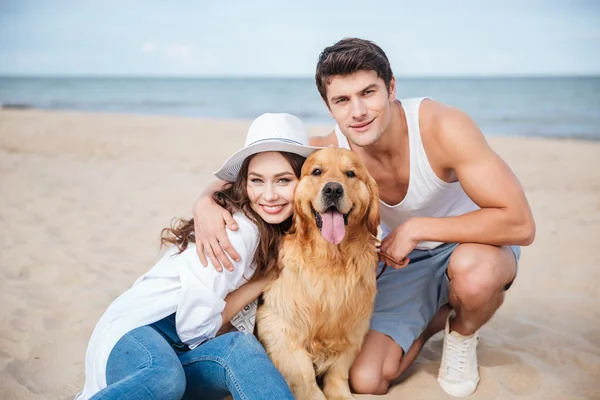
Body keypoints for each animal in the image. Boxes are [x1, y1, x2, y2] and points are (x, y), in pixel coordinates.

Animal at [256, 148, 380, 400]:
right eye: (316, 171)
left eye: (350, 173)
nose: (333, 189)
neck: (331, 260)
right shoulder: (277, 322)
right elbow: (304, 373)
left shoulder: (354, 325)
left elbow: (339, 371)